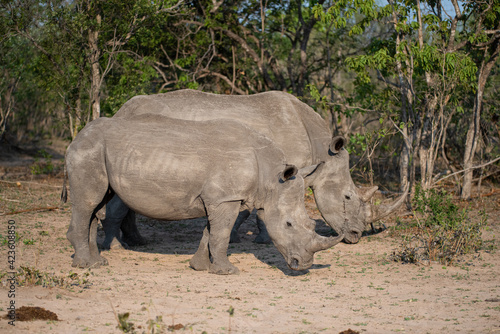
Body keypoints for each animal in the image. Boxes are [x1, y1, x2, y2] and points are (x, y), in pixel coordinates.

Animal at [63, 115, 344, 274]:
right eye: (288, 224)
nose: (303, 265)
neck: (270, 176)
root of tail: (75, 138)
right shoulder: (226, 197)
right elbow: (221, 233)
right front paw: (227, 271)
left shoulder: (220, 198)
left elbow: (210, 231)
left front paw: (199, 267)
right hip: (88, 151)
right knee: (88, 202)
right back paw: (86, 266)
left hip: (97, 151)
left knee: (96, 204)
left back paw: (97, 263)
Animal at [104, 90, 406, 247]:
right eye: (347, 196)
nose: (355, 236)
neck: (322, 150)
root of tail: (120, 111)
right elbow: (257, 209)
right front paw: (261, 239)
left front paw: (238, 236)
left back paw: (137, 242)